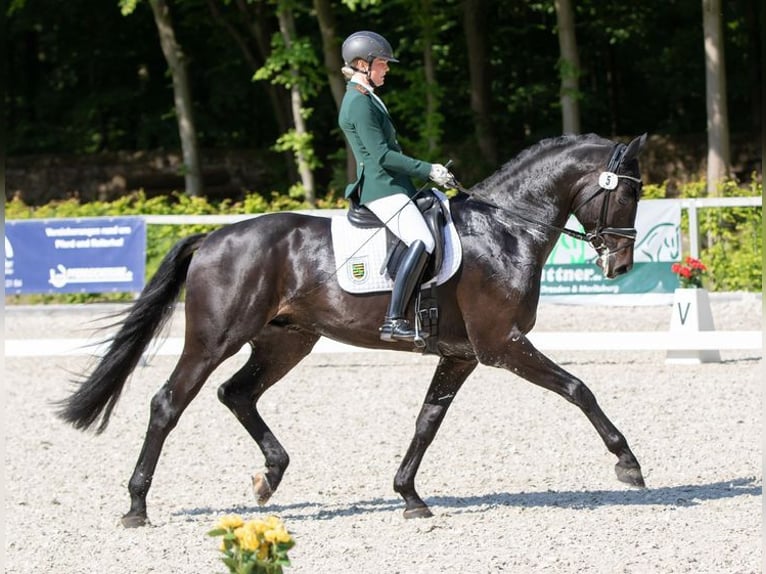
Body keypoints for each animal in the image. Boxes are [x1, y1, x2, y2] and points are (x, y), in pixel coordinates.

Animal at [57, 133, 652, 528]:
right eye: (627, 194)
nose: (620, 265)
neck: (504, 229)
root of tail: (212, 237)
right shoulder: (501, 344)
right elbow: (578, 387)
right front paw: (628, 464)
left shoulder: (461, 354)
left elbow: (426, 422)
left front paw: (408, 496)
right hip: (214, 339)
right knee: (168, 403)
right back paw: (137, 507)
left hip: (287, 340)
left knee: (237, 393)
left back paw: (269, 476)